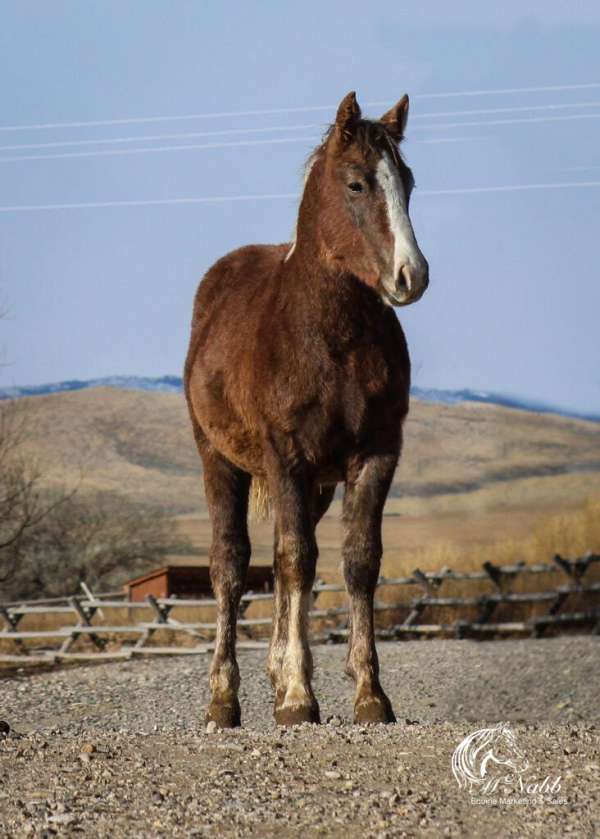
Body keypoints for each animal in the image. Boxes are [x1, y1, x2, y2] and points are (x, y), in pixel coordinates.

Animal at [185, 88, 428, 724]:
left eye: (408, 182)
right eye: (357, 184)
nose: (411, 275)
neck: (329, 336)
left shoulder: (376, 455)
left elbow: (358, 561)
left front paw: (369, 694)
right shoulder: (285, 458)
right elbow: (296, 560)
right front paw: (298, 697)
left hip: (315, 486)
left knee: (277, 563)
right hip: (220, 460)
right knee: (232, 564)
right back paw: (224, 699)